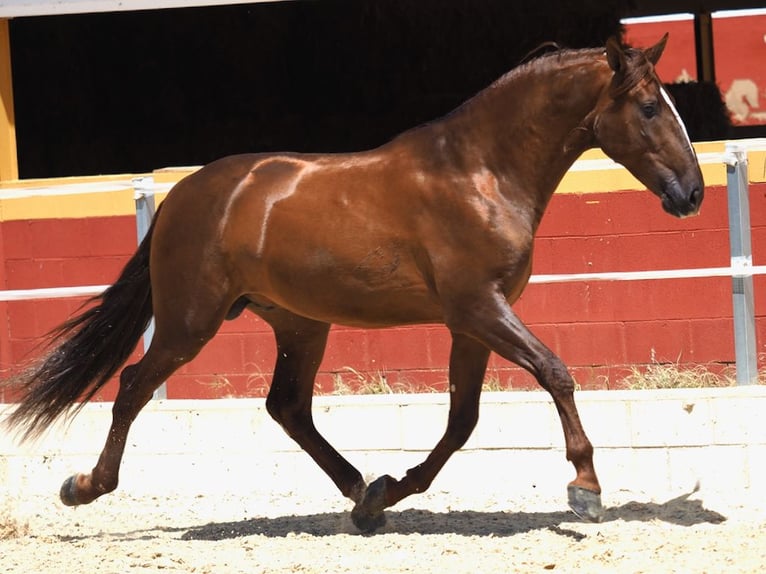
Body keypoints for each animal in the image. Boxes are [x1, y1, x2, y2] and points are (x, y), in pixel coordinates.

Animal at [4, 35, 704, 532]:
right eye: (649, 108)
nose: (692, 194)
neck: (479, 171)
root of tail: (184, 192)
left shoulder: (472, 323)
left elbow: (462, 421)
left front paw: (389, 492)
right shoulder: (479, 309)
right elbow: (555, 372)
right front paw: (585, 489)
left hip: (299, 323)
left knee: (287, 407)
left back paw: (360, 495)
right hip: (189, 323)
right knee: (131, 388)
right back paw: (84, 487)